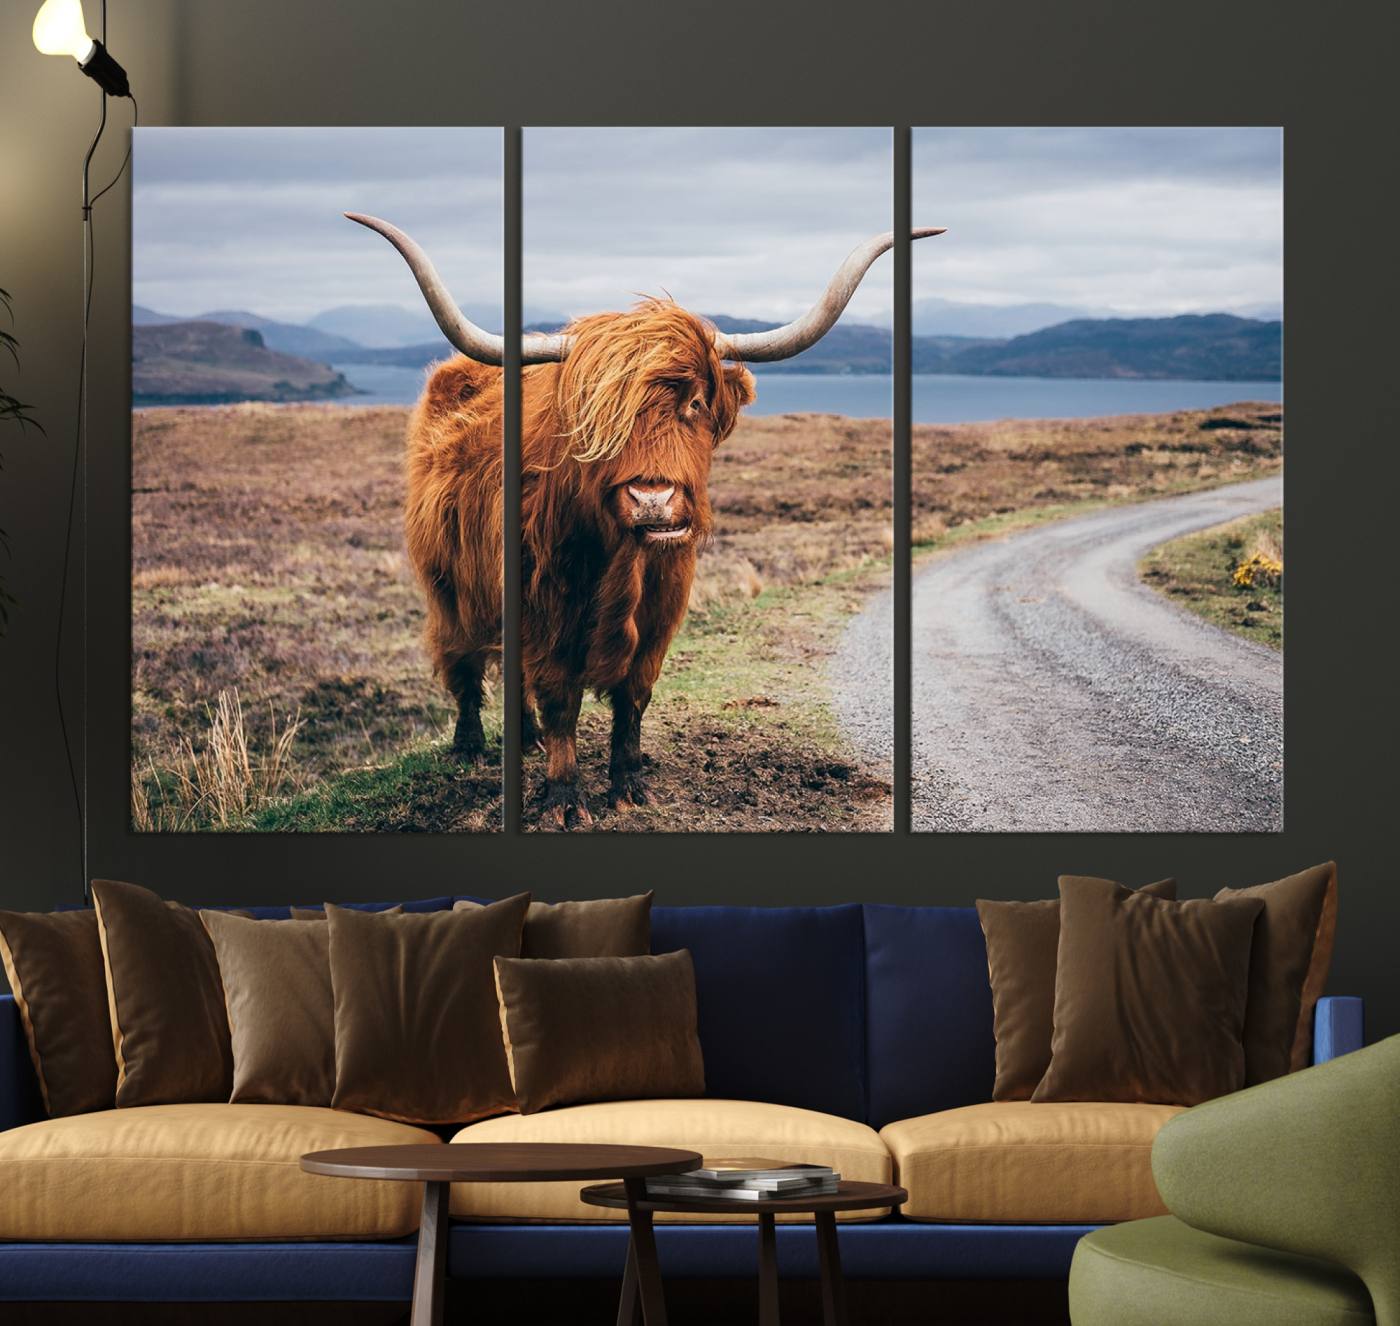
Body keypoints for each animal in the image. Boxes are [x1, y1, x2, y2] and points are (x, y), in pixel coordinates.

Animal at [348, 212, 944, 828]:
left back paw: (525, 739)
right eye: (594, 415)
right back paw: (469, 746)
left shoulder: (662, 612)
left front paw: (630, 785)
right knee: (463, 661)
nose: (652, 499)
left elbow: (633, 698)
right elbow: (559, 697)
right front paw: (564, 797)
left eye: (696, 403)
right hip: (447, 583)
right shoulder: (543, 608)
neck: (621, 564)